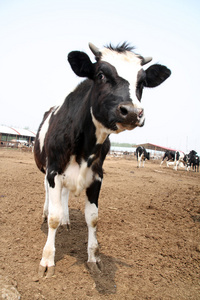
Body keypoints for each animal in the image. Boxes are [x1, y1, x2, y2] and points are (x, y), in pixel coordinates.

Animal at [34, 41, 170, 278]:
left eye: (142, 82)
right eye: (100, 75)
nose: (132, 112)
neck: (86, 147)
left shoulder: (97, 176)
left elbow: (93, 218)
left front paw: (94, 258)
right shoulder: (53, 172)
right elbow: (53, 218)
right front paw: (47, 260)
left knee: (65, 197)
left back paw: (67, 220)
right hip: (46, 169)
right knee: (49, 197)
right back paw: (46, 212)